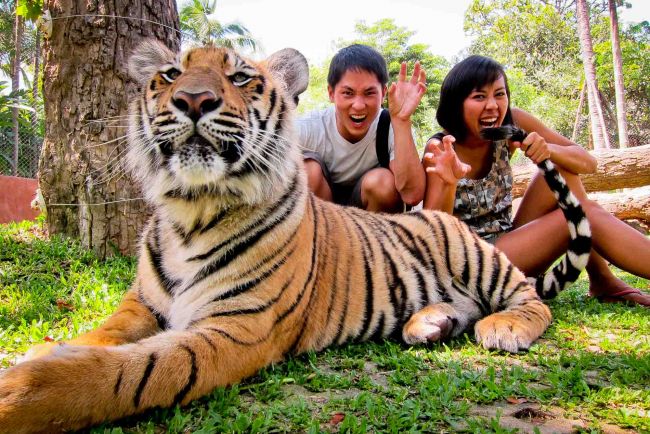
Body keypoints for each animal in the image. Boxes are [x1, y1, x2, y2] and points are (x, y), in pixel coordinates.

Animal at [0, 41, 588, 434]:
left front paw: (20, 393)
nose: (193, 100)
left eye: (240, 77)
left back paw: (503, 327)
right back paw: (430, 323)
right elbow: (99, 337)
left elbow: (126, 373)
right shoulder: (142, 305)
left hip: (474, 258)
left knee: (532, 299)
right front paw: (41, 351)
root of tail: (444, 216)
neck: (191, 209)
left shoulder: (234, 330)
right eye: (169, 73)